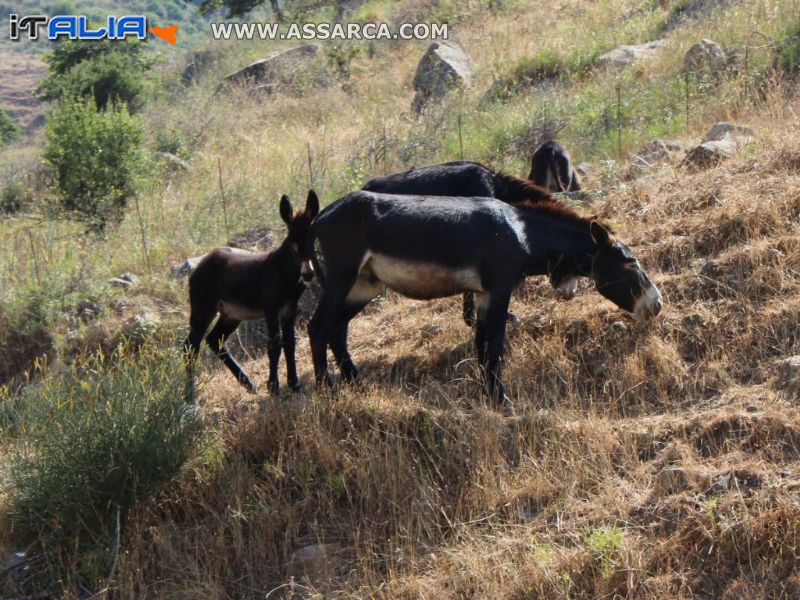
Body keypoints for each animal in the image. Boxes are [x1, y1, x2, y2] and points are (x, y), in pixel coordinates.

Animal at [184, 192, 318, 396]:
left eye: (311, 240)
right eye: (293, 242)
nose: (308, 274)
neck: (283, 271)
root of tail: (200, 265)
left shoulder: (290, 308)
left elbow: (289, 343)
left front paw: (294, 384)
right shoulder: (271, 308)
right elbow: (274, 345)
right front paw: (273, 387)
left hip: (231, 314)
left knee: (214, 339)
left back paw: (248, 383)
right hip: (204, 307)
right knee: (190, 346)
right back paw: (190, 395)